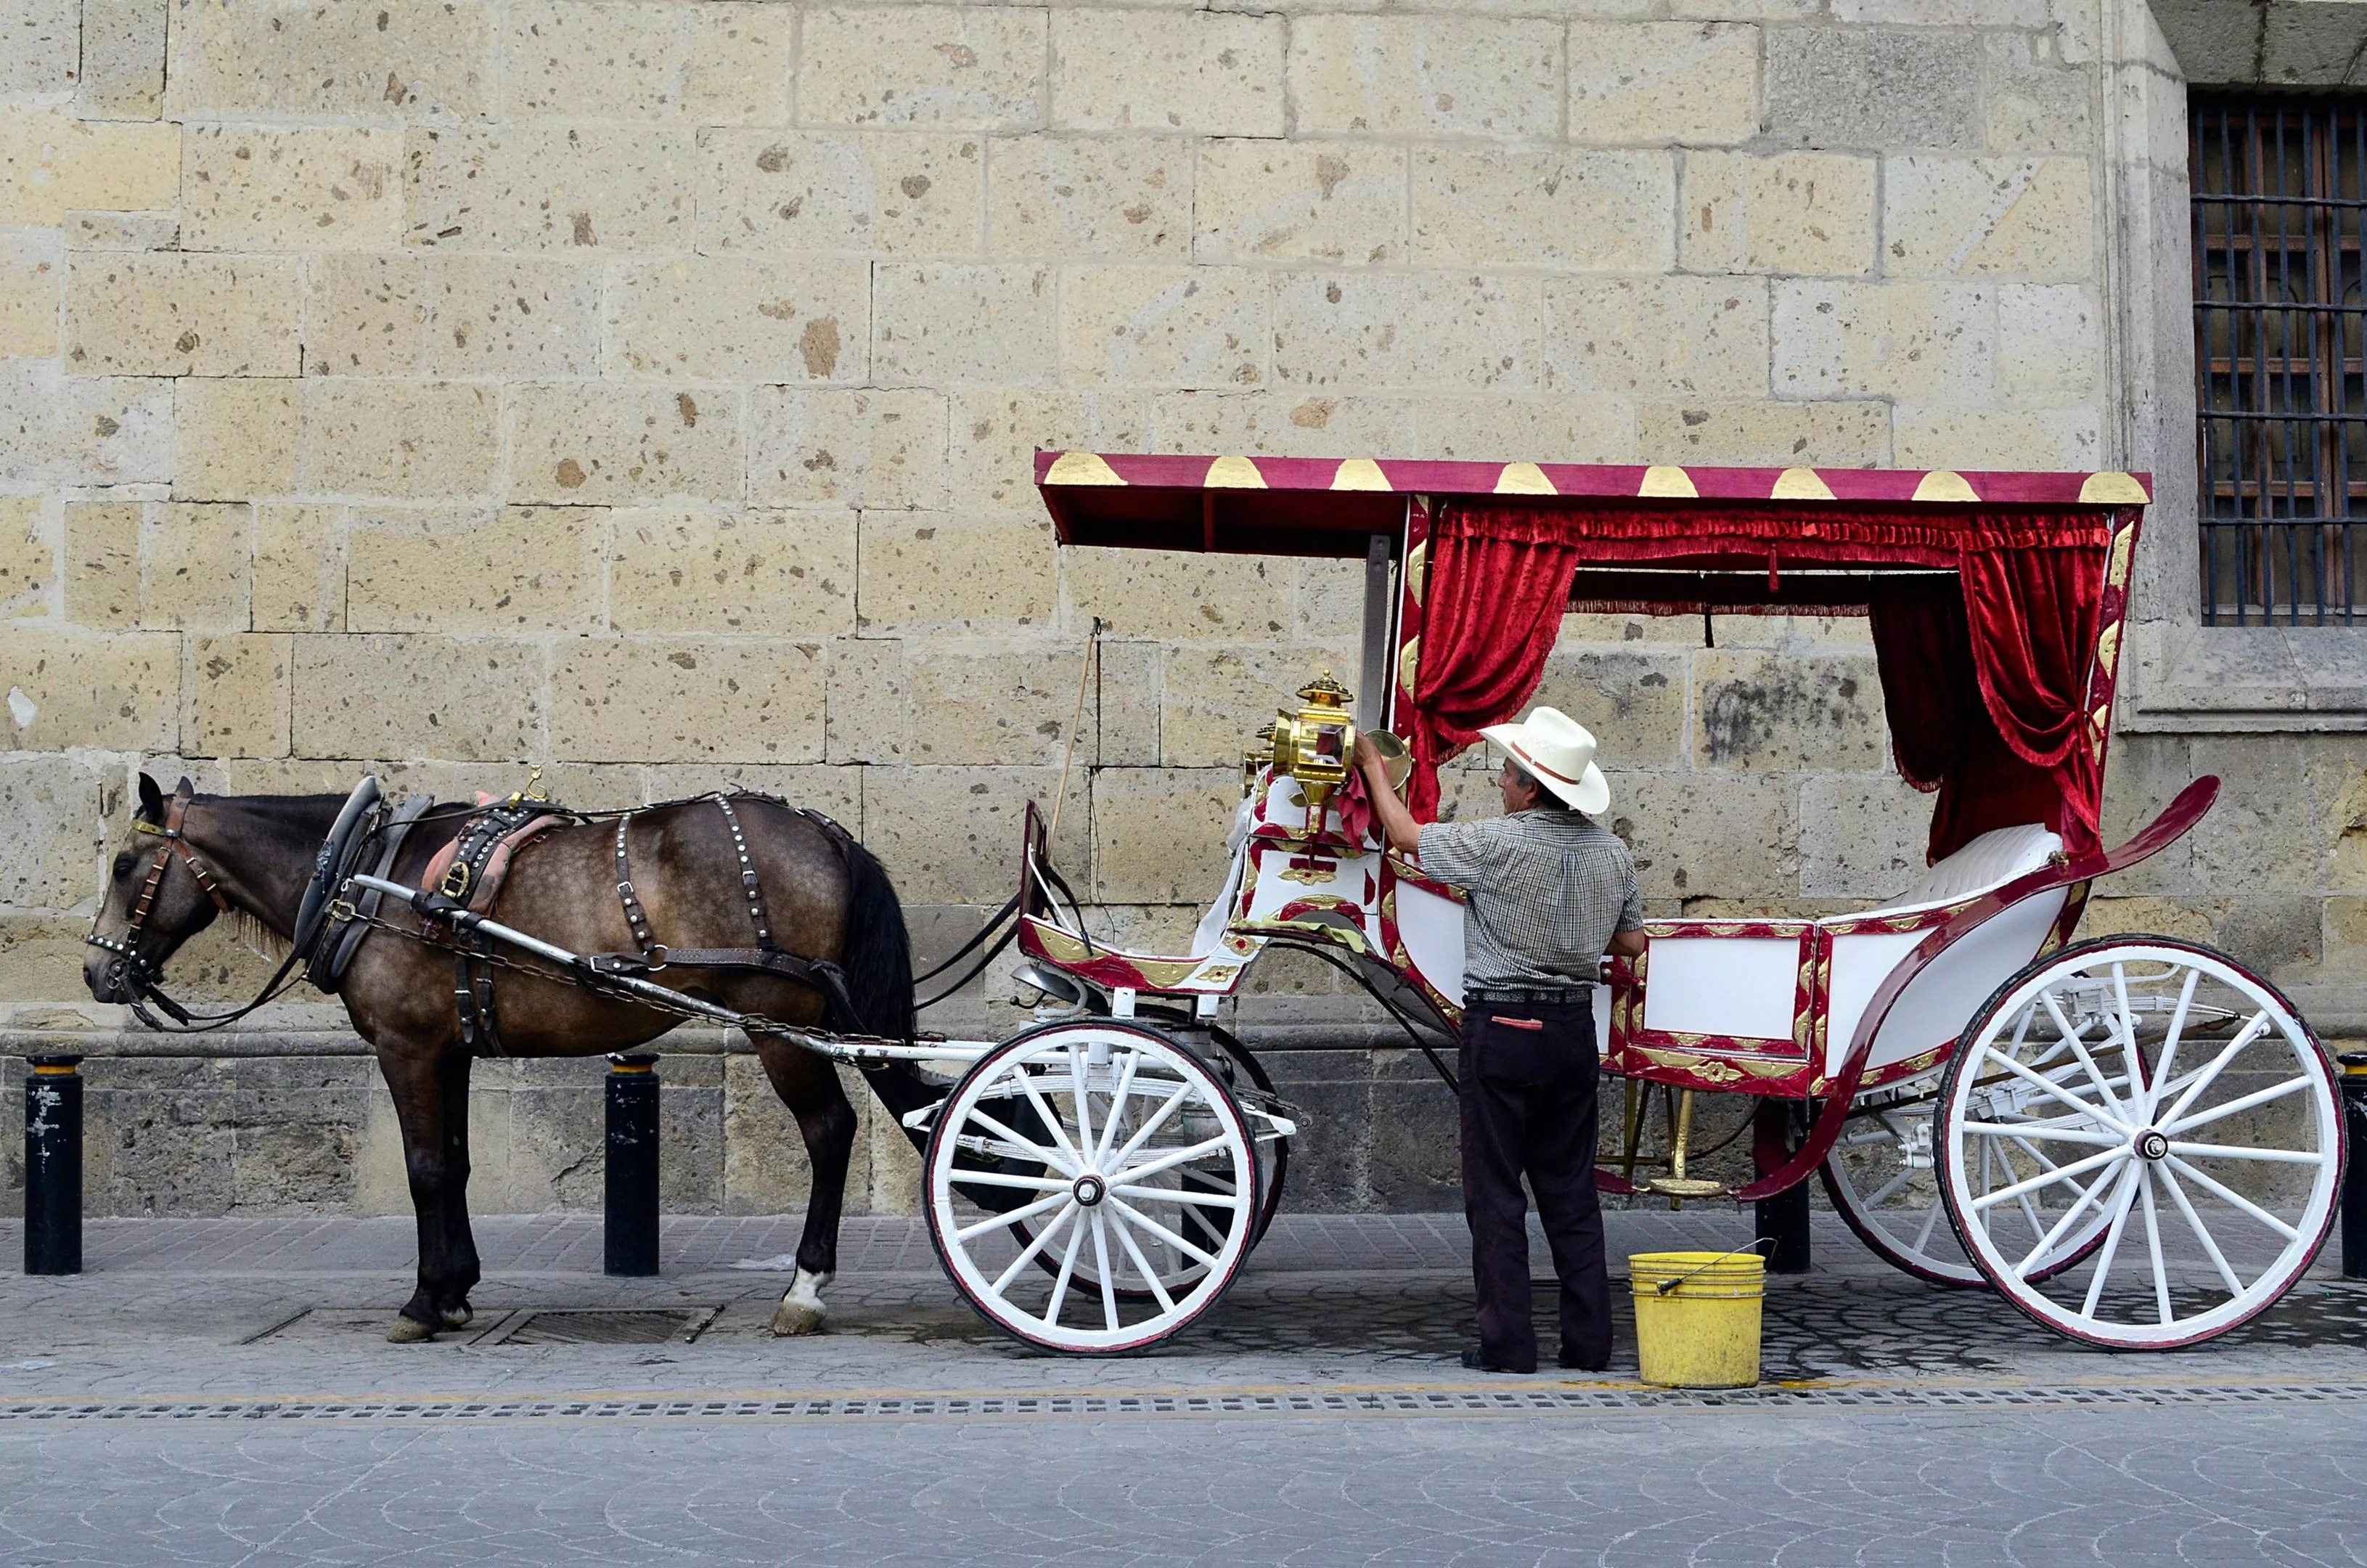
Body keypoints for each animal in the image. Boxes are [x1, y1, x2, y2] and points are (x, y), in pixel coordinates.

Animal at [83, 773, 944, 1342]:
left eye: (124, 867)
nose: (97, 972)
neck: (362, 874)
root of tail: (828, 834)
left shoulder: (406, 1049)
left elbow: (426, 1169)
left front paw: (425, 1303)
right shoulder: (449, 1049)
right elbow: (456, 1165)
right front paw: (456, 1287)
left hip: (777, 1022)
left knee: (830, 1132)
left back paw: (805, 1286)